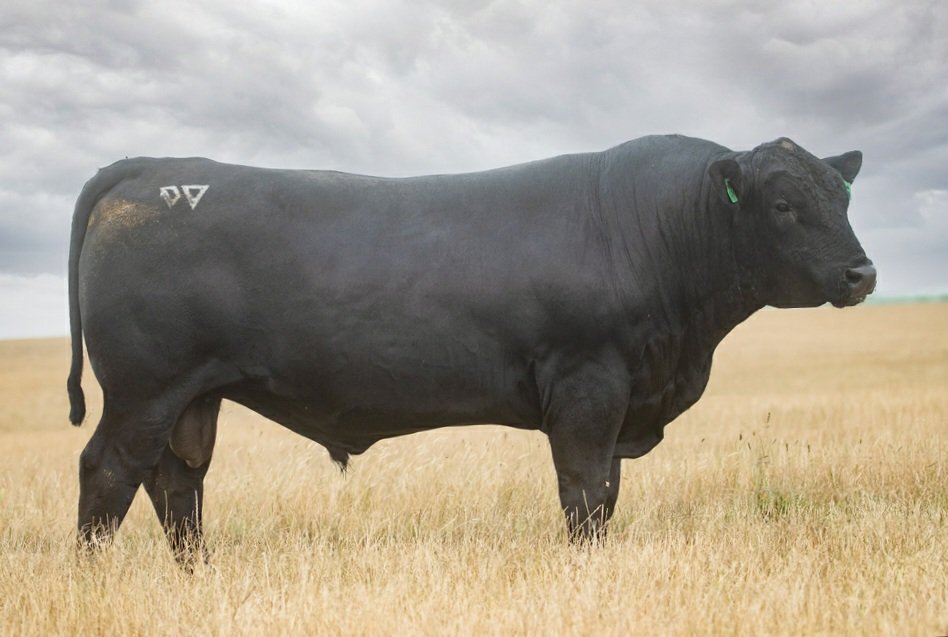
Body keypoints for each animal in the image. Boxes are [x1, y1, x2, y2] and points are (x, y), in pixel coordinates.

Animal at [67, 134, 875, 563]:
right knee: (109, 471)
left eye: (842, 197)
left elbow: (607, 493)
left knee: (178, 481)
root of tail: (154, 167)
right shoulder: (587, 384)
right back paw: (91, 573)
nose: (861, 273)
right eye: (782, 204)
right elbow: (585, 491)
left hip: (192, 394)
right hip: (144, 387)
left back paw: (199, 572)